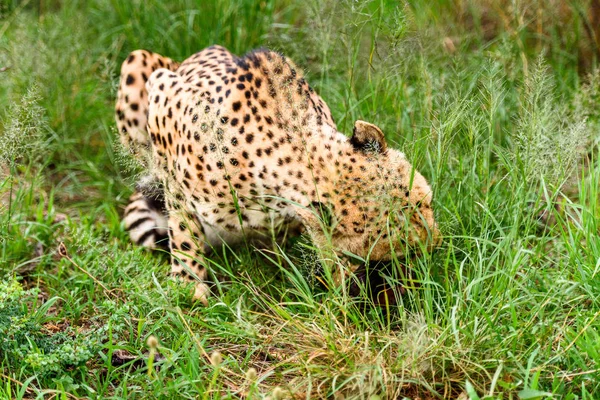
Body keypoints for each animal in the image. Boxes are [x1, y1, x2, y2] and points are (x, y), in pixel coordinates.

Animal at [115, 45, 438, 304]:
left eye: (426, 204)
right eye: (401, 245)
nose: (436, 243)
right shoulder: (163, 95)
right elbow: (183, 229)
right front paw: (188, 286)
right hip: (137, 64)